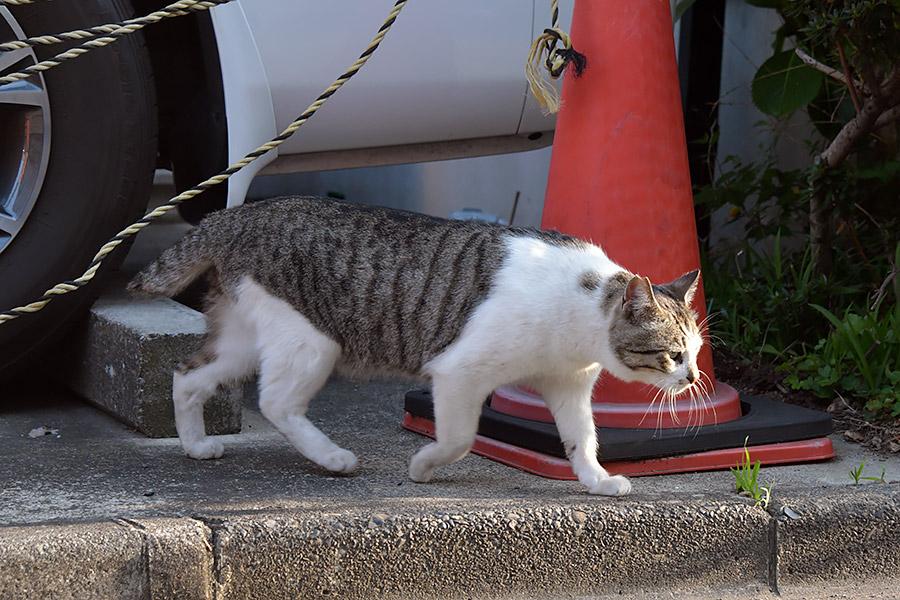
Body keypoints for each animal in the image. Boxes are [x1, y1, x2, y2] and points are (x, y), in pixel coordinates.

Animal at [128, 197, 704, 496]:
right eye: (674, 354)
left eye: (697, 352)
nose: (694, 378)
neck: (583, 309)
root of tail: (239, 213)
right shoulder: (459, 374)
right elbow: (459, 440)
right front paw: (424, 467)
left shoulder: (568, 385)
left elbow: (581, 440)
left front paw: (598, 482)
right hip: (310, 341)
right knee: (275, 402)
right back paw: (333, 457)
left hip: (243, 339)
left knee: (187, 374)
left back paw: (195, 444)